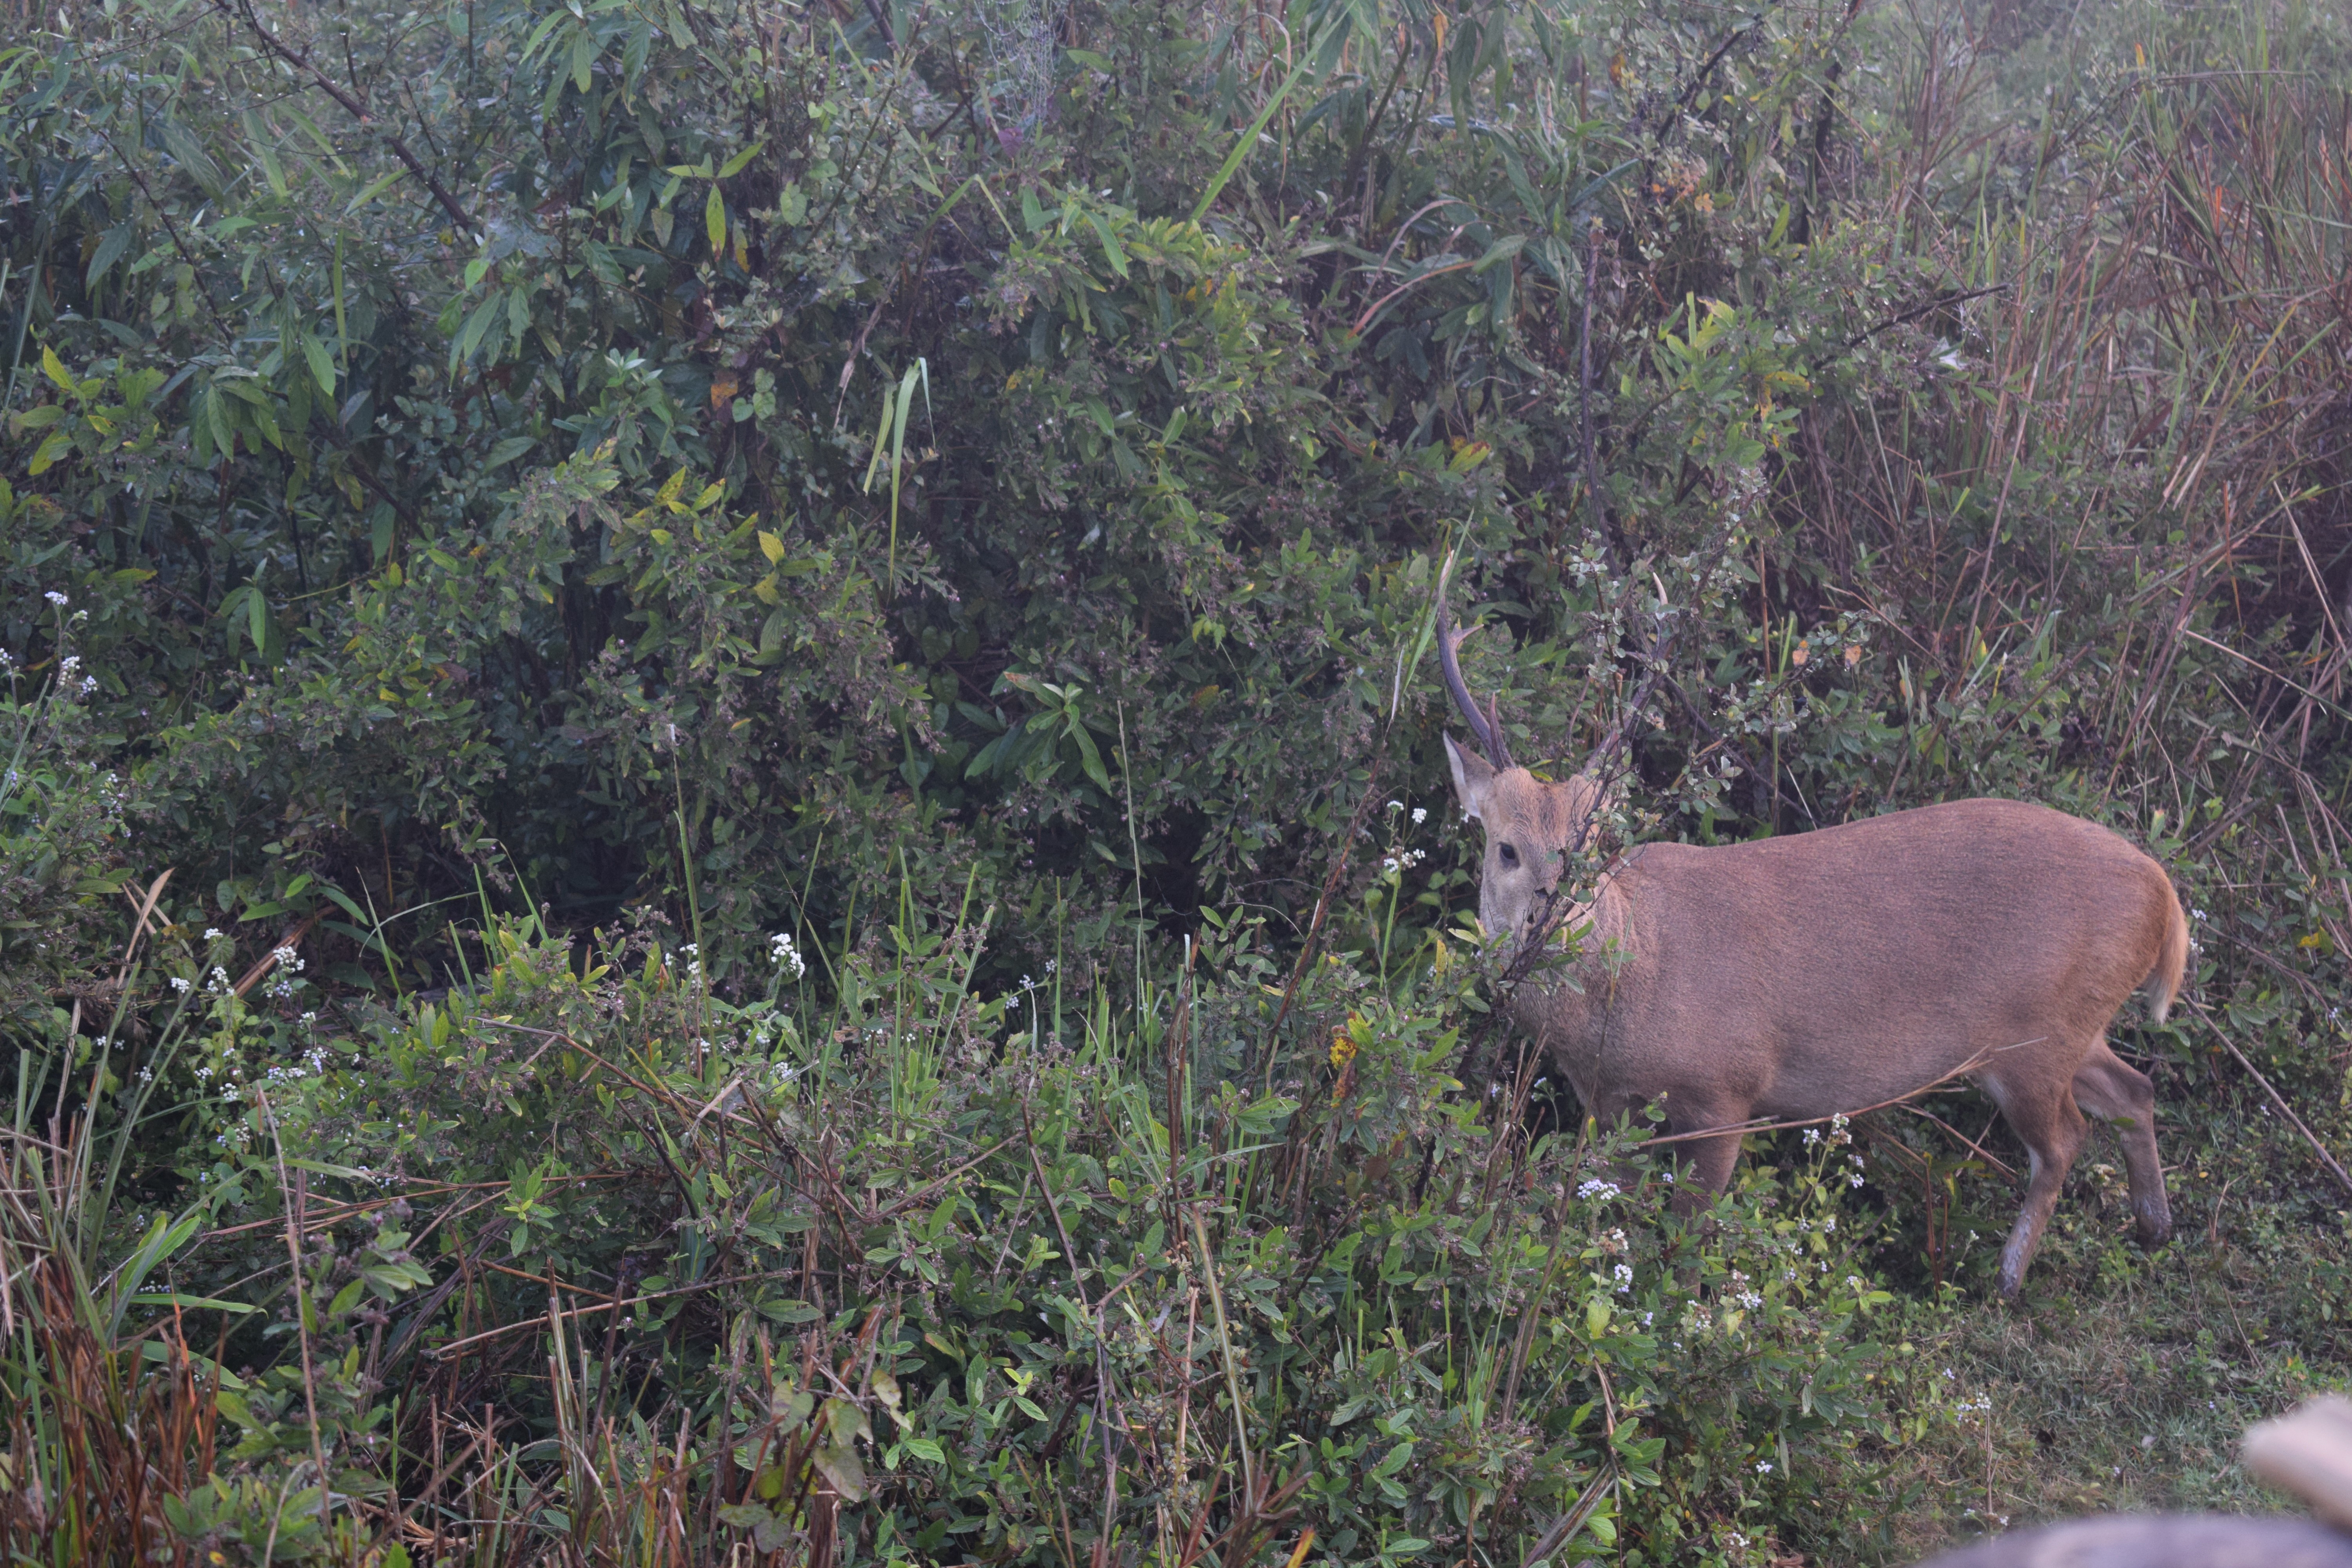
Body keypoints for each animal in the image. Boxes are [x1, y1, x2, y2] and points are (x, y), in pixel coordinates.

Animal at [1435, 575, 2186, 1298]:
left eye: (1598, 846)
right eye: (1507, 848)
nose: (1559, 917)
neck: (1635, 978)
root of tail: (2165, 897)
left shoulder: (1726, 1088)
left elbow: (1687, 1238)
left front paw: (1676, 1310)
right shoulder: (1612, 1103)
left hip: (2036, 1037)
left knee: (2065, 1141)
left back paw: (2006, 1283)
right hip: (2074, 1024)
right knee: (2134, 1090)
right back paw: (2154, 1229)